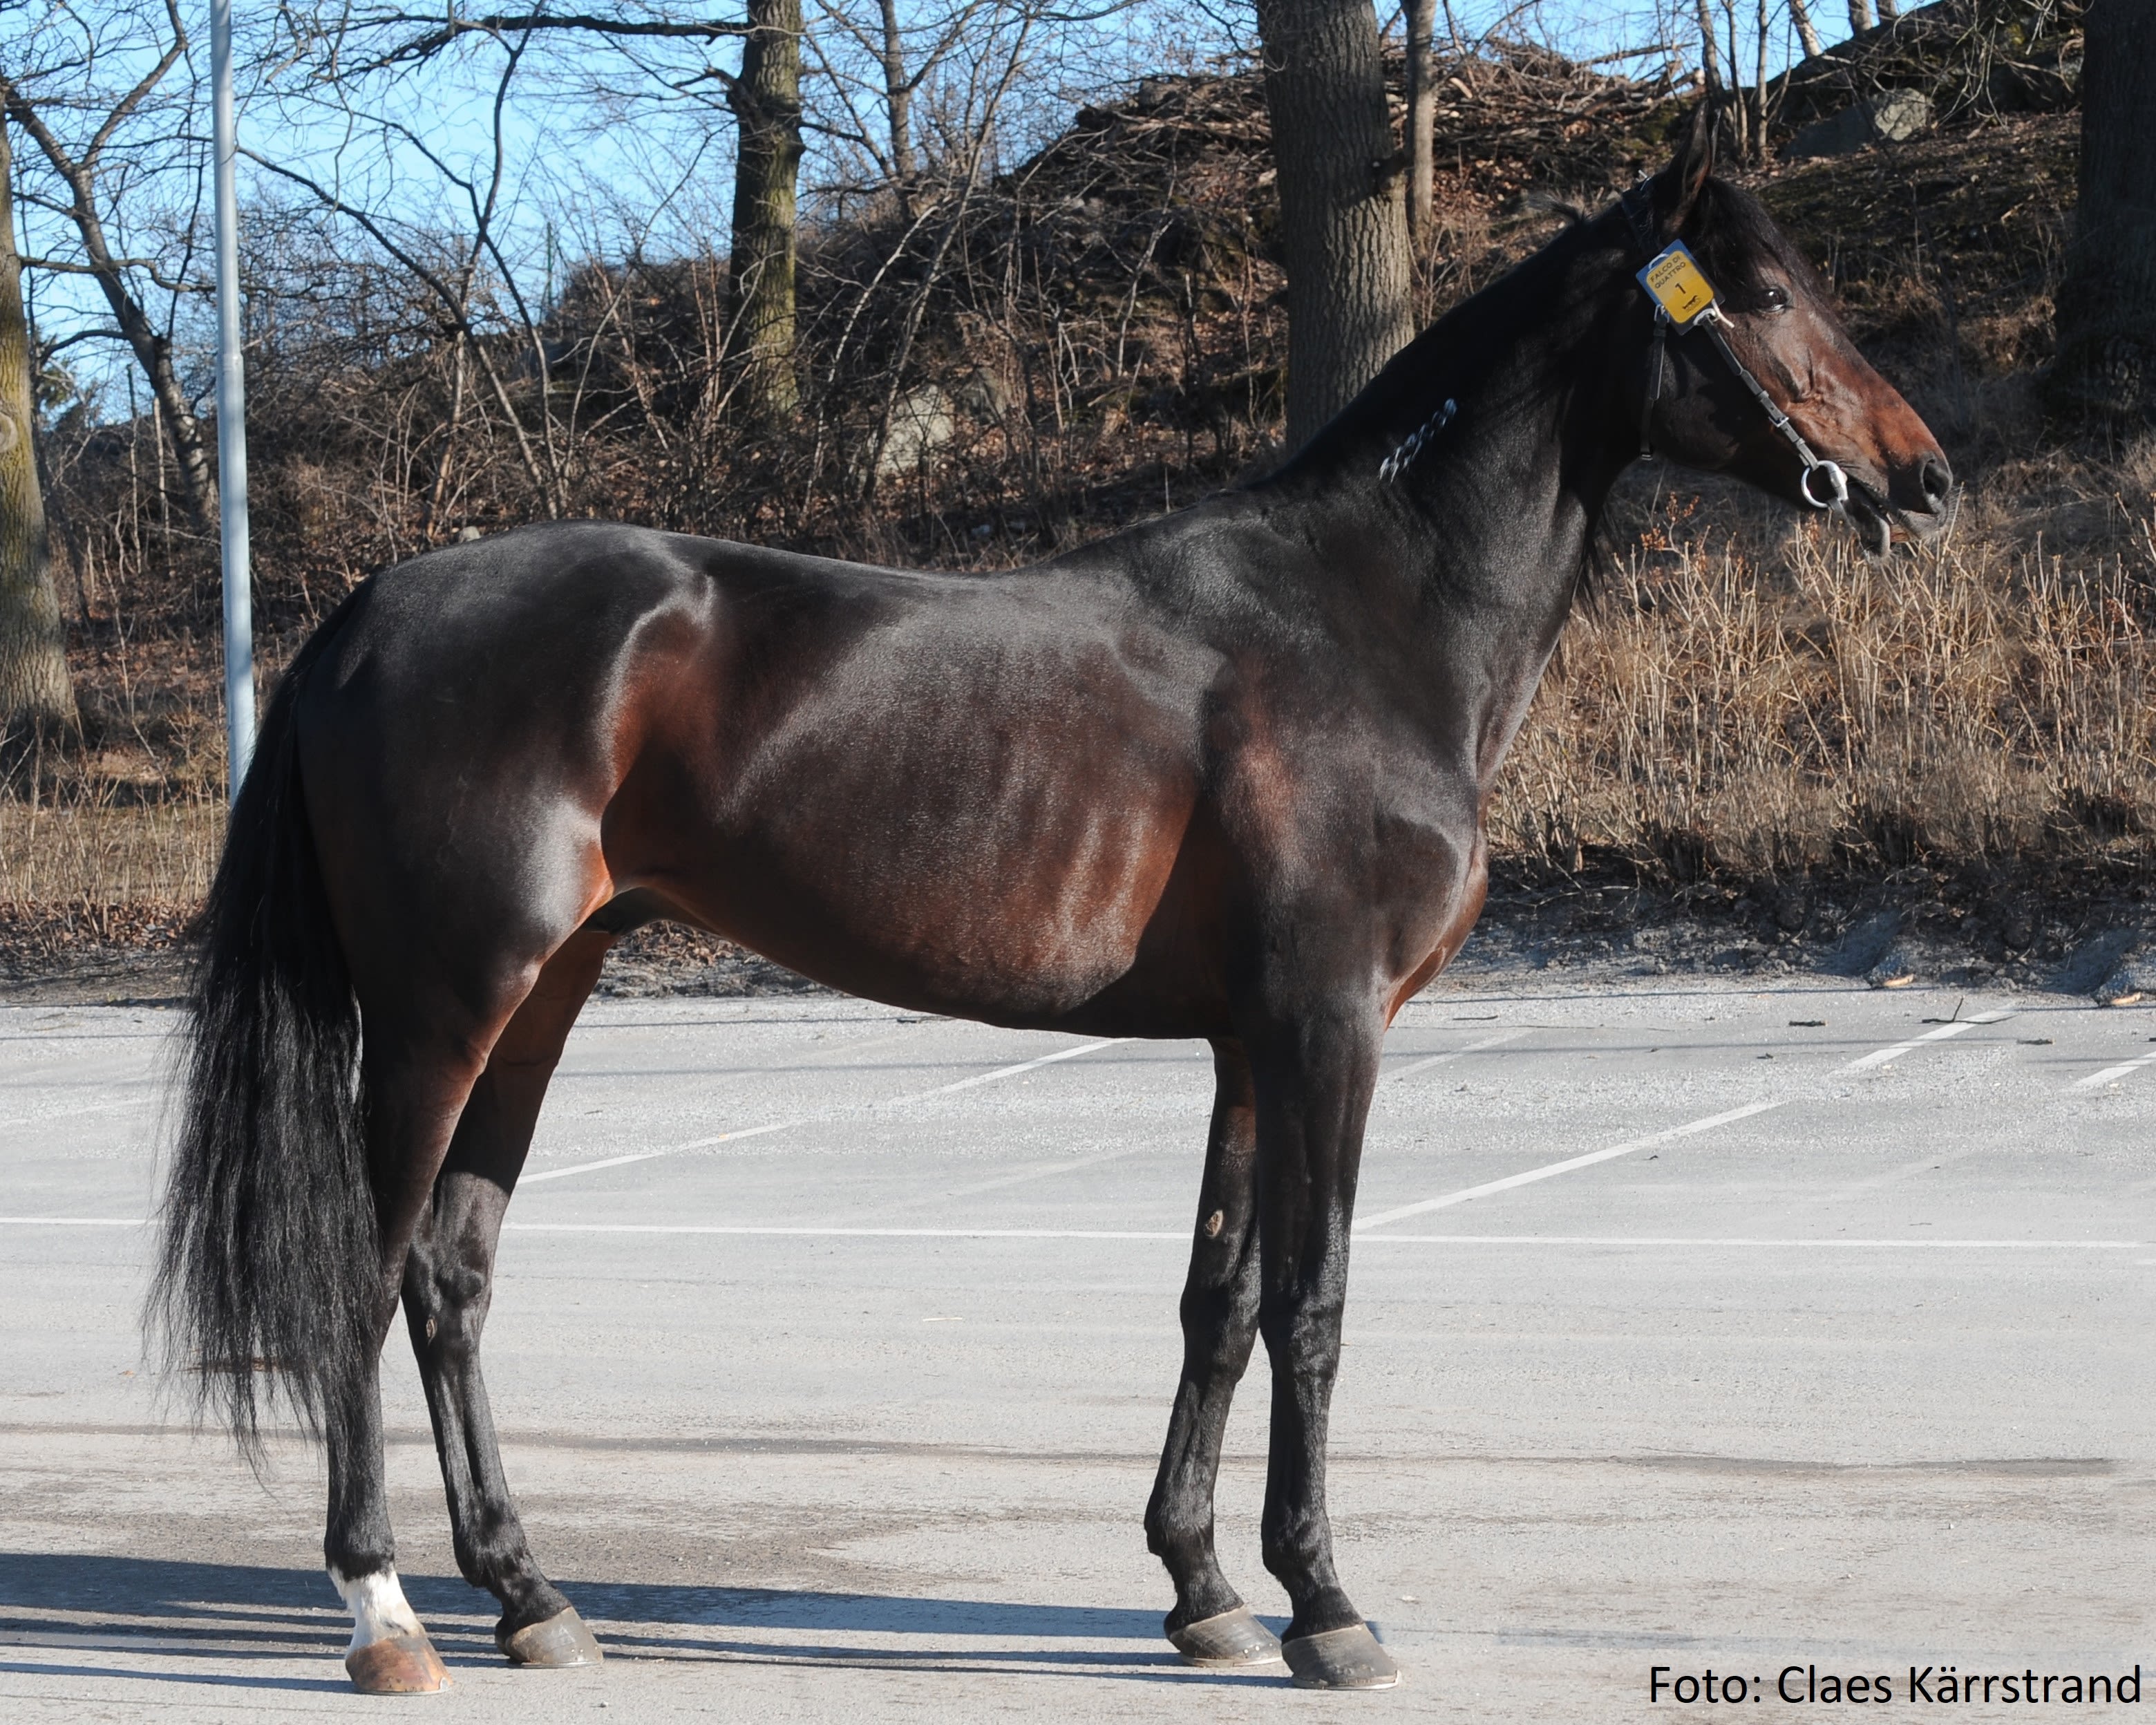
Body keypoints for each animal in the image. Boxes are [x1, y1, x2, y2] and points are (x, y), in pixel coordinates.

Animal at [152, 105, 1953, 1695]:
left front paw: (1205, 1589)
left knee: (450, 1278)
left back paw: (531, 1597)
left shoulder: (1248, 1043)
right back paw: (382, 1612)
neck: (1366, 623)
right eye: (1764, 291)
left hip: (543, 997)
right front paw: (1326, 1606)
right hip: (443, 1009)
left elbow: (1219, 1303)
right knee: (365, 1270)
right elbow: (1313, 1304)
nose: (1924, 478)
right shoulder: (1329, 1028)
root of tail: (368, 610)